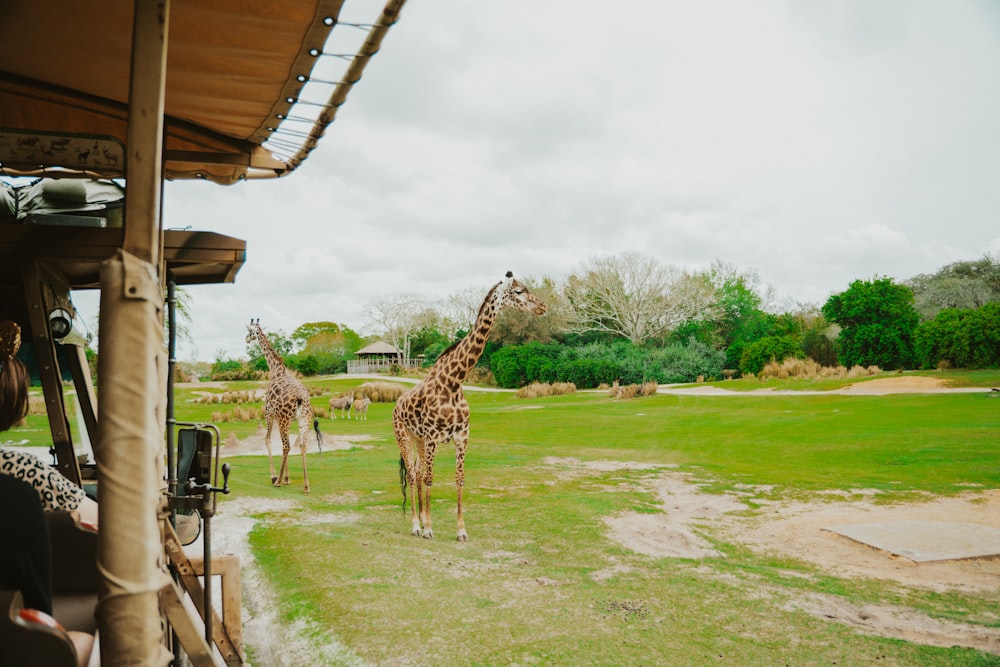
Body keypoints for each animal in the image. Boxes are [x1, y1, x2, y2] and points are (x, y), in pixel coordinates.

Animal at [243, 320, 324, 494]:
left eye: (250, 331)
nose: (246, 339)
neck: (275, 369)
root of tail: (301, 398)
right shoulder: (288, 419)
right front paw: (288, 478)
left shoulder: (269, 412)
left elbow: (267, 439)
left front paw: (275, 476)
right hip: (303, 420)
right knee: (302, 445)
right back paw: (306, 486)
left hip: (283, 419)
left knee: (286, 446)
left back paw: (278, 481)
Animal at [392, 274, 548, 540]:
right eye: (518, 291)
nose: (543, 306)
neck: (455, 382)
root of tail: (396, 404)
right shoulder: (433, 437)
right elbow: (432, 478)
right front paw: (429, 529)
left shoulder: (462, 435)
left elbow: (459, 478)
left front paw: (461, 531)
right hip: (403, 435)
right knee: (413, 475)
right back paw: (416, 526)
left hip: (418, 438)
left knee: (418, 472)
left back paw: (421, 520)